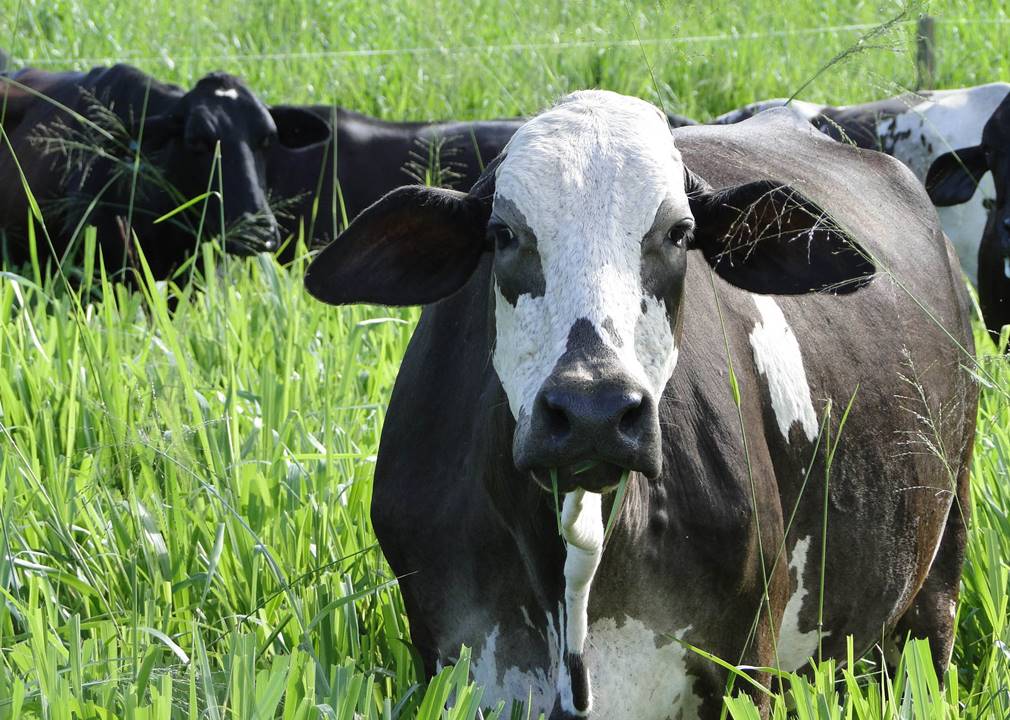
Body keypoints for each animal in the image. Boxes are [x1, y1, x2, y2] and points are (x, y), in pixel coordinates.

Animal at [300, 91, 977, 718]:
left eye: (679, 233)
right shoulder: (447, 654)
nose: (593, 412)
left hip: (940, 567)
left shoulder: (745, 664)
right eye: (503, 233)